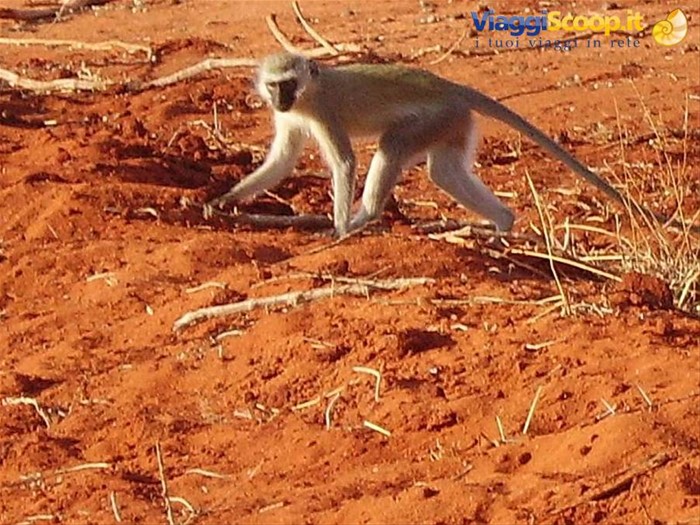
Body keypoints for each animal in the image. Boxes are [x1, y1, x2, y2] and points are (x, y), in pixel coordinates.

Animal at [207, 52, 698, 237]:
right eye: (275, 86)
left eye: (289, 83)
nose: (281, 97)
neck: (309, 92)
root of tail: (453, 87)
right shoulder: (289, 118)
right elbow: (282, 160)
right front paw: (223, 200)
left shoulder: (323, 110)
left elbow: (344, 161)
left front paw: (340, 227)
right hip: (454, 123)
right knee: (444, 171)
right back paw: (501, 224)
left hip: (435, 118)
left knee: (391, 148)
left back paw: (367, 218)